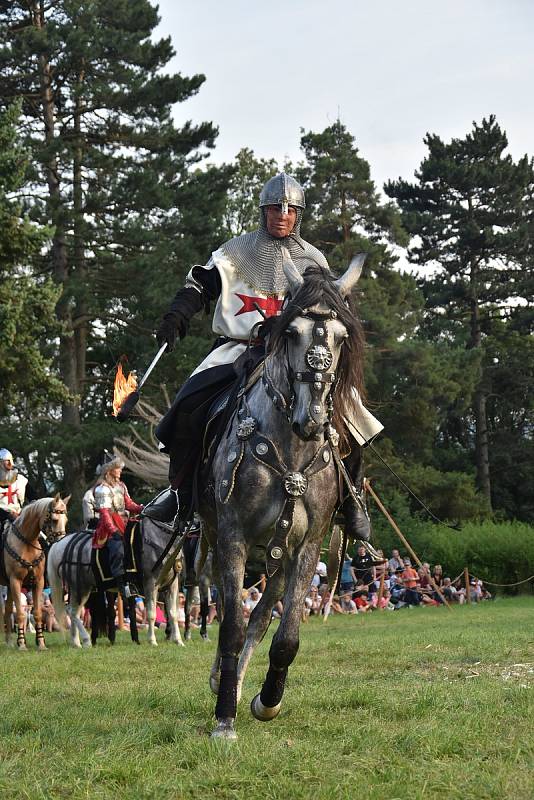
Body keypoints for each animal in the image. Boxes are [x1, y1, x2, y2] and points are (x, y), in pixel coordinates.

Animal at [0, 496, 69, 652]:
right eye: (54, 519)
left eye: (66, 520)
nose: (61, 543)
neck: (26, 543)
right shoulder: (16, 581)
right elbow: (20, 614)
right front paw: (21, 644)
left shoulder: (38, 582)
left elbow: (37, 613)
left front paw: (41, 643)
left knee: (7, 610)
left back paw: (9, 642)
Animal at [46, 516, 188, 648]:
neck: (159, 537)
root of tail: (60, 544)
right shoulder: (151, 583)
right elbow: (151, 613)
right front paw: (152, 641)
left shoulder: (172, 585)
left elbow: (173, 613)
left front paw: (178, 641)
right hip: (81, 587)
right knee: (73, 611)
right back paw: (86, 640)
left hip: (81, 589)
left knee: (73, 611)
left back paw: (76, 643)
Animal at [201, 255, 368, 736]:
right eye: (291, 333)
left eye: (341, 337)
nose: (311, 419)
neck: (291, 449)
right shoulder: (233, 537)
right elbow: (231, 627)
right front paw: (224, 717)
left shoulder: (307, 548)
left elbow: (285, 636)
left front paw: (266, 700)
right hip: (214, 539)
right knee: (226, 610)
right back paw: (223, 681)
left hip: (278, 556)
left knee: (260, 616)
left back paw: (238, 684)